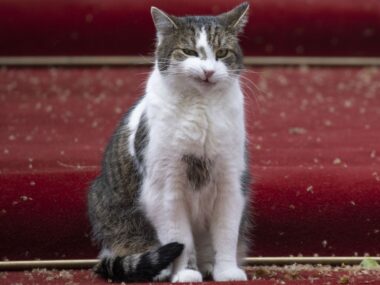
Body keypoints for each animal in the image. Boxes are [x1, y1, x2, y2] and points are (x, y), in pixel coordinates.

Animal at [87, 2, 251, 282]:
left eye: (222, 52)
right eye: (189, 51)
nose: (208, 71)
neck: (201, 108)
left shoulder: (230, 181)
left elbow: (227, 234)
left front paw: (228, 271)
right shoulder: (166, 188)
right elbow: (180, 238)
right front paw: (186, 273)